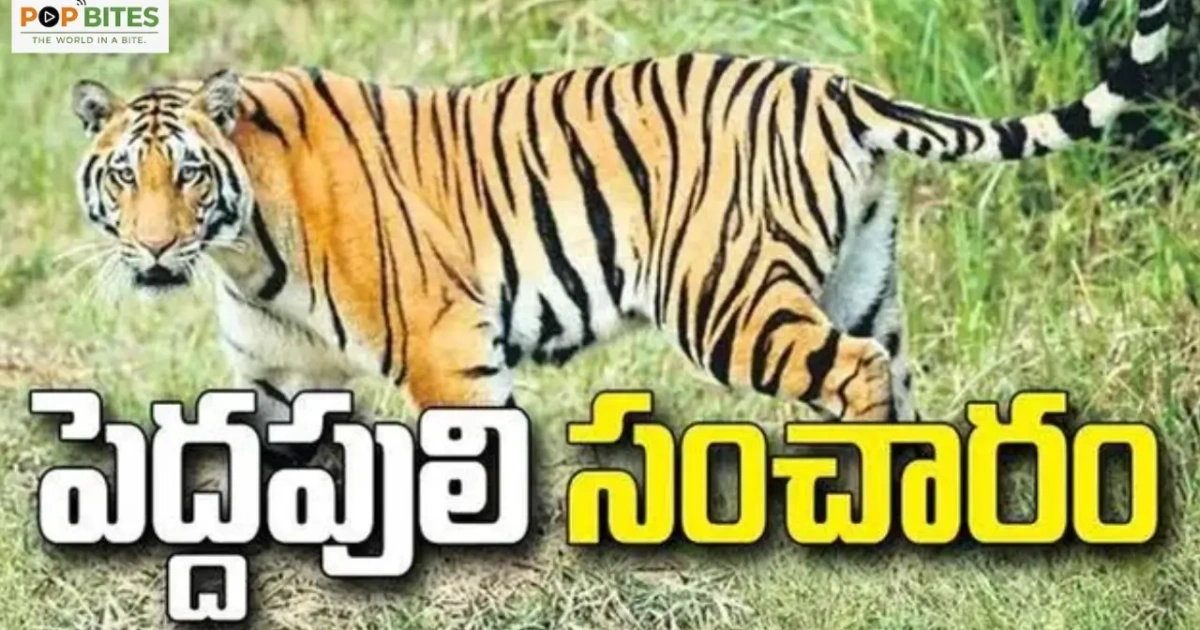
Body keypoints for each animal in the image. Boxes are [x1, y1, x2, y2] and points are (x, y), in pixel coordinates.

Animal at [68, 0, 1170, 464]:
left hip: (726, 301)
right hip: (862, 283)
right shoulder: (275, 374)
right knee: (889, 372)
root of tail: (829, 82)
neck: (242, 250)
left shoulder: (446, 344)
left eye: (188, 174)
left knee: (853, 375)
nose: (155, 249)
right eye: (128, 176)